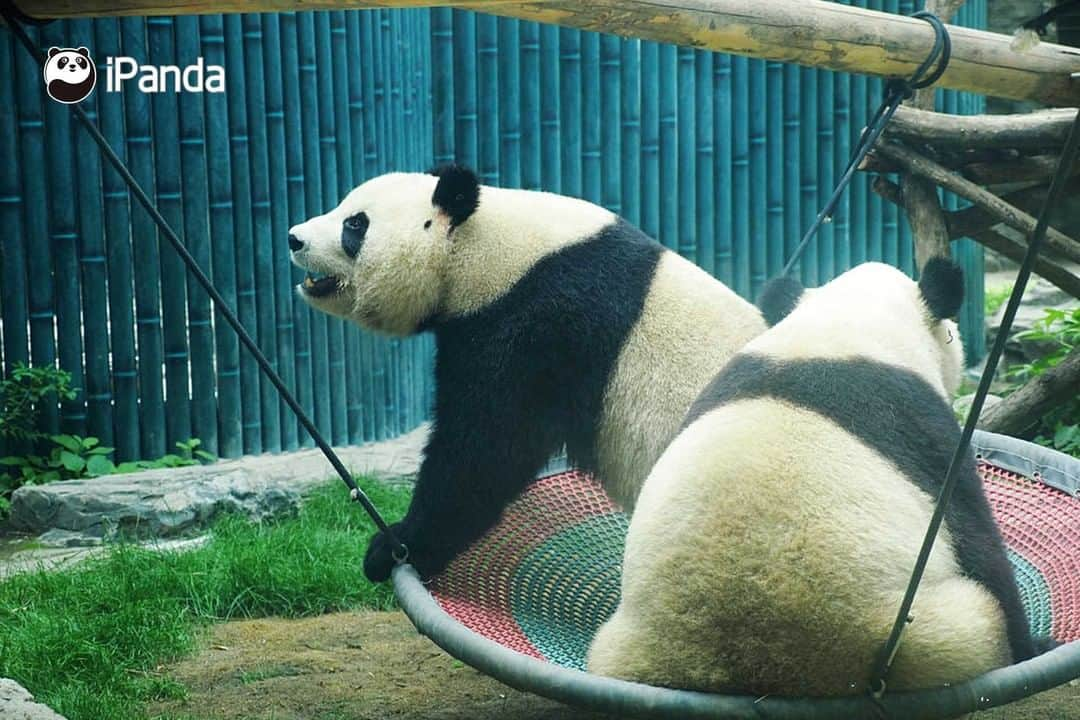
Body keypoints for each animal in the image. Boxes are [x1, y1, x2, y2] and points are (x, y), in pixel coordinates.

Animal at [282, 166, 764, 582]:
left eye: (355, 225)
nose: (294, 237)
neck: (488, 249)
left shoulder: (542, 326)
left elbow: (486, 448)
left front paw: (397, 545)